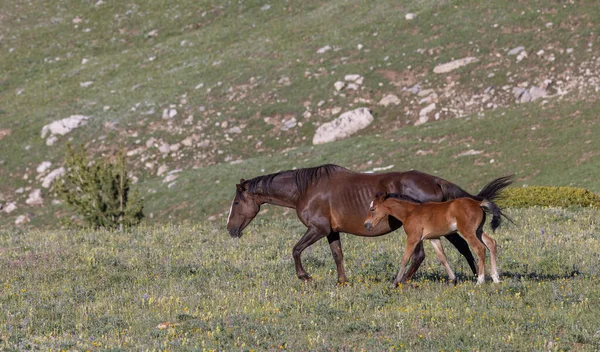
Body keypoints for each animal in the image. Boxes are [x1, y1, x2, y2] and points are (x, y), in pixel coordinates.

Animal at [364, 190, 508, 286]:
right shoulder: (434, 238)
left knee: (480, 249)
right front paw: (453, 280)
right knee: (492, 244)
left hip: (468, 232)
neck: (410, 212)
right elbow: (442, 258)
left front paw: (395, 283)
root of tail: (478, 203)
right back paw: (495, 278)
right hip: (478, 231)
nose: (366, 225)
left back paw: (480, 281)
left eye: (373, 209)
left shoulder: (413, 238)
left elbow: (405, 258)